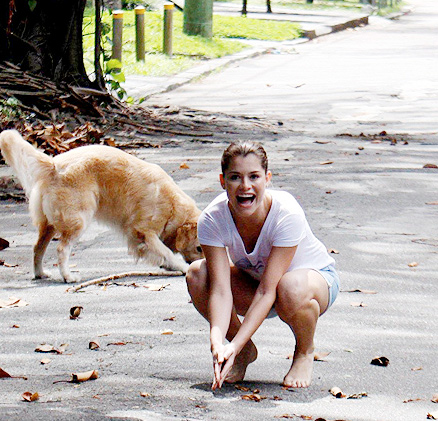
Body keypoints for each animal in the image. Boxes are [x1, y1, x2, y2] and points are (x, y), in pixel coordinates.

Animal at [0, 130, 204, 282]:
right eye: (199, 248)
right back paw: (68, 276)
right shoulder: (144, 231)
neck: (173, 206)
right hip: (78, 220)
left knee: (37, 248)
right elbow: (166, 252)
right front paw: (181, 266)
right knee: (61, 249)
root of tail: (53, 164)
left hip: (49, 225)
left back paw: (40, 274)